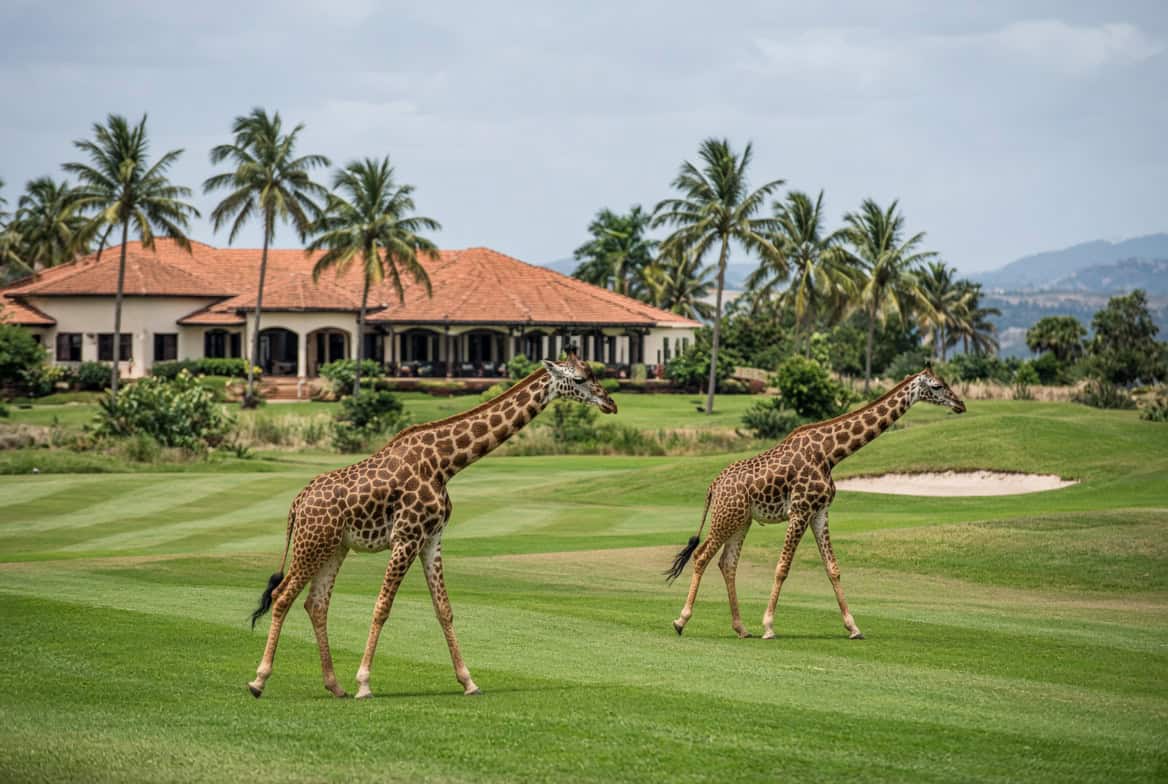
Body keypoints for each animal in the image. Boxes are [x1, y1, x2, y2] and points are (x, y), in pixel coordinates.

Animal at [246, 352, 617, 699]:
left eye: (595, 373)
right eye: (580, 378)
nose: (610, 403)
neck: (444, 464)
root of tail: (297, 503)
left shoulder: (431, 538)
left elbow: (444, 610)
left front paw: (469, 681)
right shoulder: (407, 536)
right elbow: (382, 607)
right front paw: (364, 683)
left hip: (335, 547)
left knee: (316, 604)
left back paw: (334, 686)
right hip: (312, 543)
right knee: (282, 596)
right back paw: (259, 680)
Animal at [665, 368, 965, 640]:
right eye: (937, 386)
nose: (960, 404)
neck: (830, 454)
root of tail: (712, 487)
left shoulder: (820, 512)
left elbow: (833, 569)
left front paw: (854, 627)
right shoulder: (800, 510)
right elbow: (782, 568)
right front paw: (769, 626)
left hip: (742, 520)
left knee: (727, 564)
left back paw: (741, 628)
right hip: (726, 517)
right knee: (701, 556)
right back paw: (681, 620)